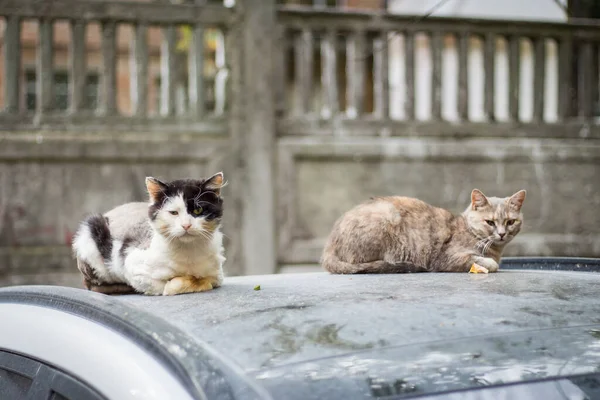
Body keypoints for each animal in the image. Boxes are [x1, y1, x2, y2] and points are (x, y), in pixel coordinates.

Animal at [72, 173, 225, 296]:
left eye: (198, 210)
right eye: (173, 213)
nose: (186, 225)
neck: (188, 255)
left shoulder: (217, 274)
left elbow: (204, 280)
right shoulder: (133, 268)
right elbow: (164, 287)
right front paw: (171, 286)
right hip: (91, 231)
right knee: (94, 286)